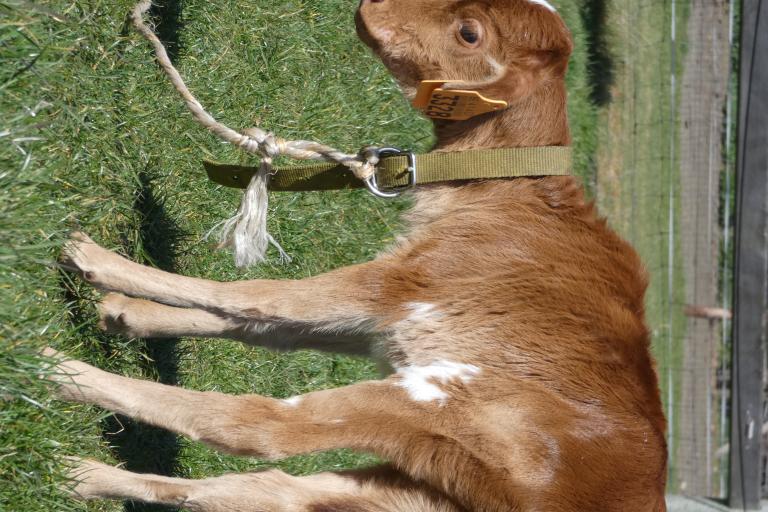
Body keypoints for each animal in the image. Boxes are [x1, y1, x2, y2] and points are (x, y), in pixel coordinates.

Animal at [49, 0, 664, 510]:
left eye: (469, 33)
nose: (371, 6)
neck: (504, 194)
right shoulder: (381, 330)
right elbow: (260, 324)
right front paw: (125, 314)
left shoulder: (403, 285)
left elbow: (256, 296)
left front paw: (96, 263)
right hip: (410, 488)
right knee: (262, 490)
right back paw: (79, 475)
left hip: (443, 402)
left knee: (259, 426)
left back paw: (59, 372)